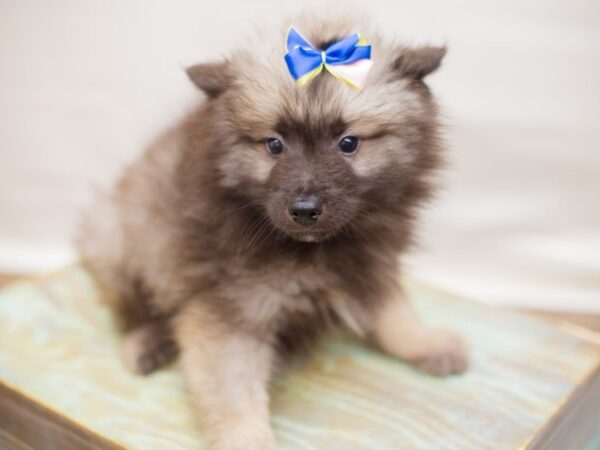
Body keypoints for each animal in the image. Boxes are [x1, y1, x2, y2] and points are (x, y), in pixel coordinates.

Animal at [76, 13, 468, 450]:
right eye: (274, 145)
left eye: (348, 142)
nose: (305, 210)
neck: (315, 250)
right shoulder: (232, 311)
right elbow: (234, 393)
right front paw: (247, 437)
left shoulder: (369, 266)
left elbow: (395, 313)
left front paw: (426, 342)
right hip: (113, 239)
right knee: (130, 310)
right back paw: (145, 341)